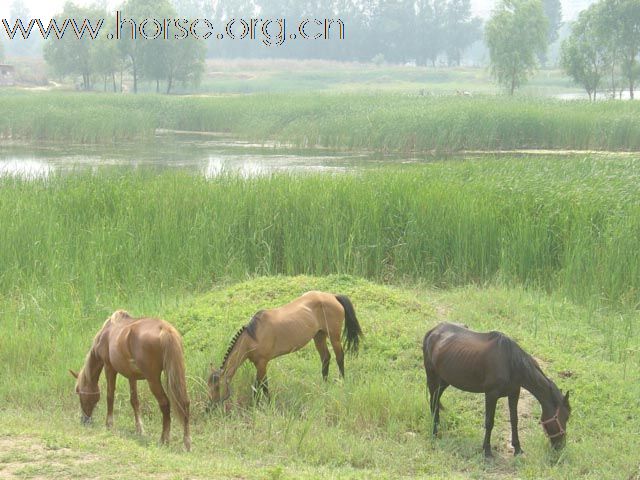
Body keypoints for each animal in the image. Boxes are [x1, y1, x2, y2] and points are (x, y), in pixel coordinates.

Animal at [70, 310, 191, 452]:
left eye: (78, 391)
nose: (84, 420)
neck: (106, 333)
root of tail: (164, 328)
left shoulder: (109, 368)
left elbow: (110, 396)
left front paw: (109, 424)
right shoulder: (131, 376)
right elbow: (134, 401)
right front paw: (139, 429)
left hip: (153, 379)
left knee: (165, 404)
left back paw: (164, 440)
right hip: (178, 376)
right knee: (185, 403)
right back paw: (187, 443)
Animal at [208, 292, 362, 404]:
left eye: (217, 386)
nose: (209, 407)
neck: (253, 336)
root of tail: (333, 296)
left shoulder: (262, 363)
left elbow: (262, 386)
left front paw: (265, 404)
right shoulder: (259, 364)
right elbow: (259, 385)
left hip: (334, 336)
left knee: (339, 357)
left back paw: (341, 383)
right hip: (319, 336)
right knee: (325, 358)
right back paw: (324, 385)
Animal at [424, 322, 568, 458]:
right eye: (564, 417)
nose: (561, 446)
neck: (510, 363)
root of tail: (433, 331)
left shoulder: (514, 393)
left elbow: (514, 420)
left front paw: (517, 449)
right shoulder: (491, 395)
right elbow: (489, 422)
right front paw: (487, 451)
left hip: (444, 381)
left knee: (435, 401)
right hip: (432, 377)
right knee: (433, 403)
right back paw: (434, 433)